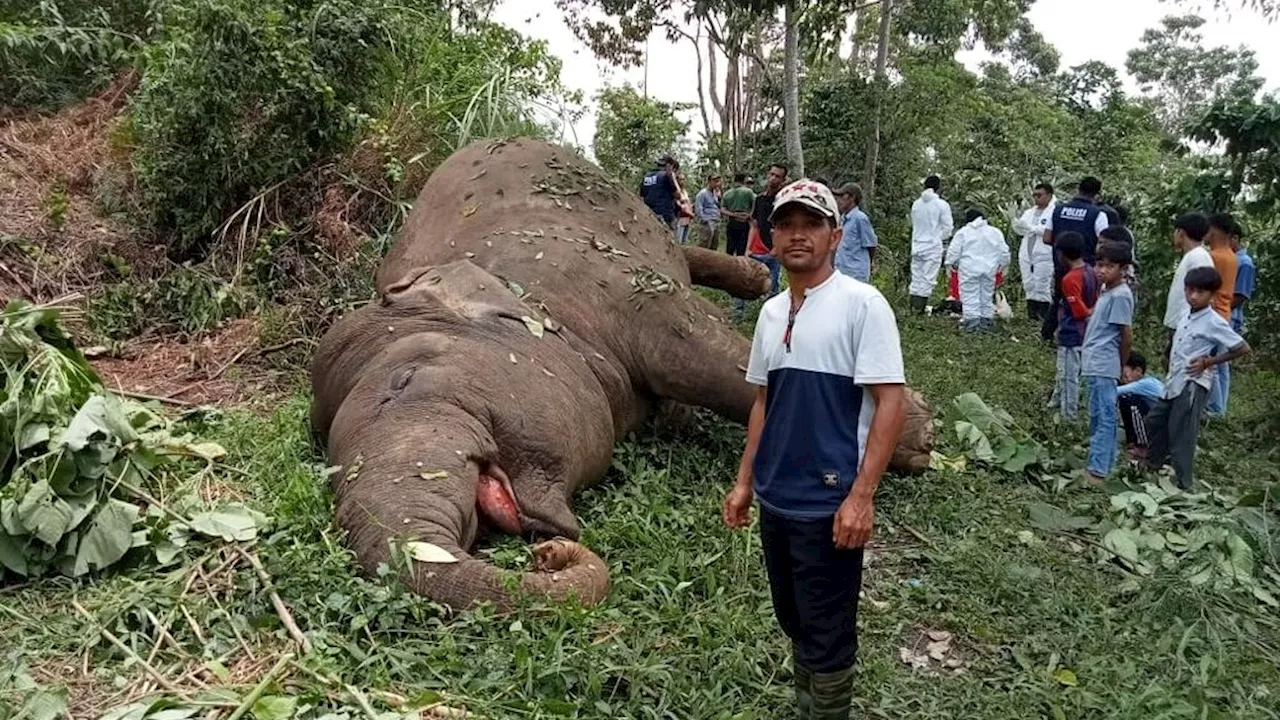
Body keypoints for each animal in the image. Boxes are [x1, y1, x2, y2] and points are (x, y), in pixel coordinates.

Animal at [309, 135, 931, 609]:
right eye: (328, 457)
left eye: (404, 380)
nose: (546, 554)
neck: (526, 297)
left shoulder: (608, 281)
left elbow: (703, 353)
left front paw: (919, 439)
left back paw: (755, 277)